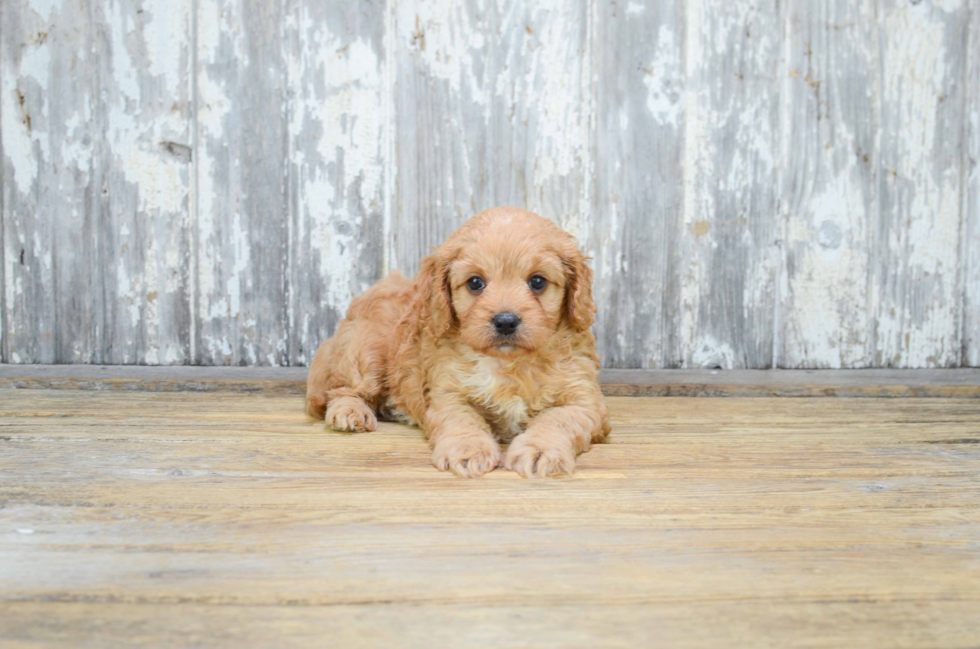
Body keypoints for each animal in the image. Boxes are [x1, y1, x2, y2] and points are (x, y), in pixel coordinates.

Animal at [308, 208, 612, 476]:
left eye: (538, 281)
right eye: (475, 283)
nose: (505, 321)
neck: (508, 362)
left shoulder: (584, 399)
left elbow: (556, 420)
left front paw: (540, 450)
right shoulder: (447, 394)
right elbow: (463, 420)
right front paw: (468, 450)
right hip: (366, 351)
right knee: (342, 388)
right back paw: (350, 412)